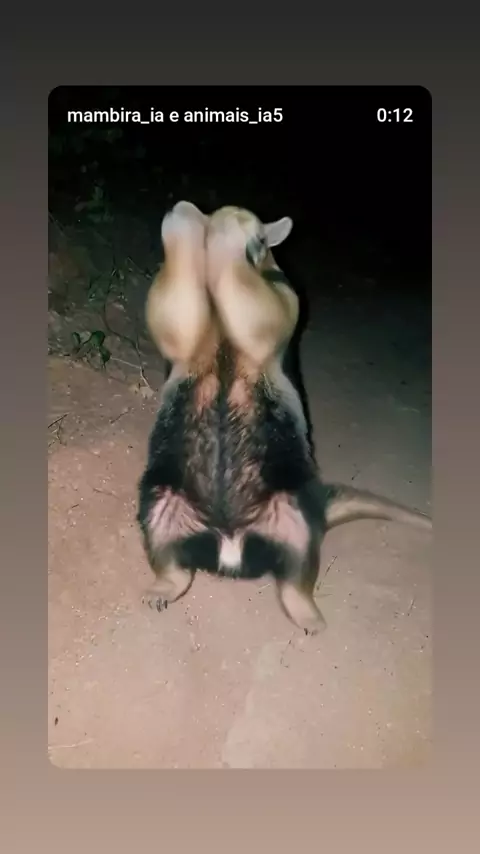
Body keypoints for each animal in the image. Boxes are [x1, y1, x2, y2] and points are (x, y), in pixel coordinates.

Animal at [137, 201, 432, 635]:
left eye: (262, 239)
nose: (253, 241)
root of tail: (230, 544)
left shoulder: (279, 298)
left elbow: (263, 310)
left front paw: (223, 229)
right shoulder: (187, 336)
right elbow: (176, 313)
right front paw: (188, 217)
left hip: (291, 510)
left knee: (297, 565)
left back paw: (307, 612)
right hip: (168, 500)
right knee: (166, 548)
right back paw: (161, 588)